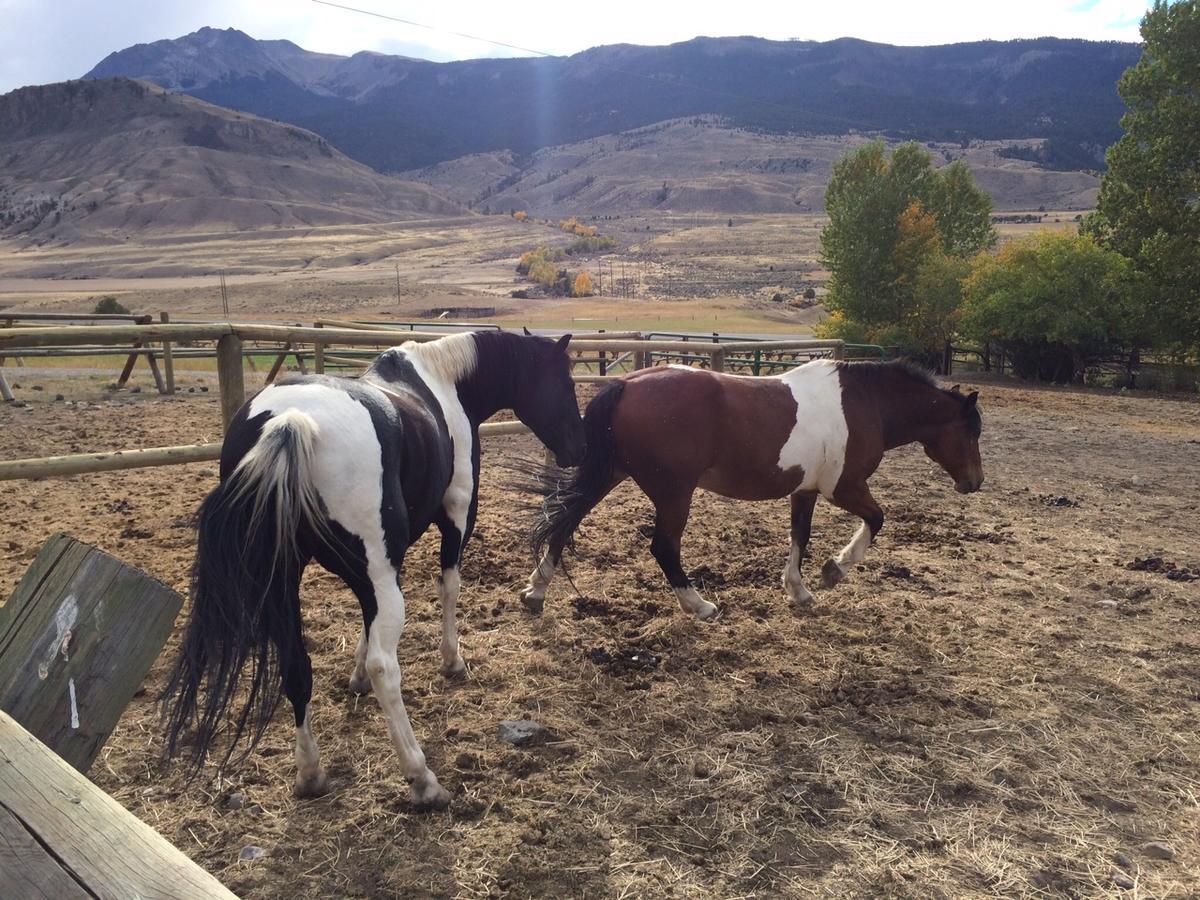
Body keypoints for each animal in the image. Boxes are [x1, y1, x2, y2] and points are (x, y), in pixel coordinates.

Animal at [163, 328, 585, 811]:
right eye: (567, 383)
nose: (579, 448)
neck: (442, 381)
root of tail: (289, 422)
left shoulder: (386, 562)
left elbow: (366, 627)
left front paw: (356, 677)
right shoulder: (456, 517)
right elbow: (448, 588)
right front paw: (452, 660)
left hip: (286, 582)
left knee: (296, 666)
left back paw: (310, 773)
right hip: (371, 572)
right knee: (387, 667)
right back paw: (422, 779)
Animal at [520, 360, 979, 619]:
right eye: (971, 430)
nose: (974, 482)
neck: (864, 404)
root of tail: (626, 384)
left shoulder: (805, 490)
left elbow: (800, 536)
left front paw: (799, 589)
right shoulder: (844, 487)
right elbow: (877, 520)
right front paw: (834, 570)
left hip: (609, 474)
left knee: (562, 524)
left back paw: (535, 591)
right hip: (674, 494)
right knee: (663, 548)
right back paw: (700, 606)